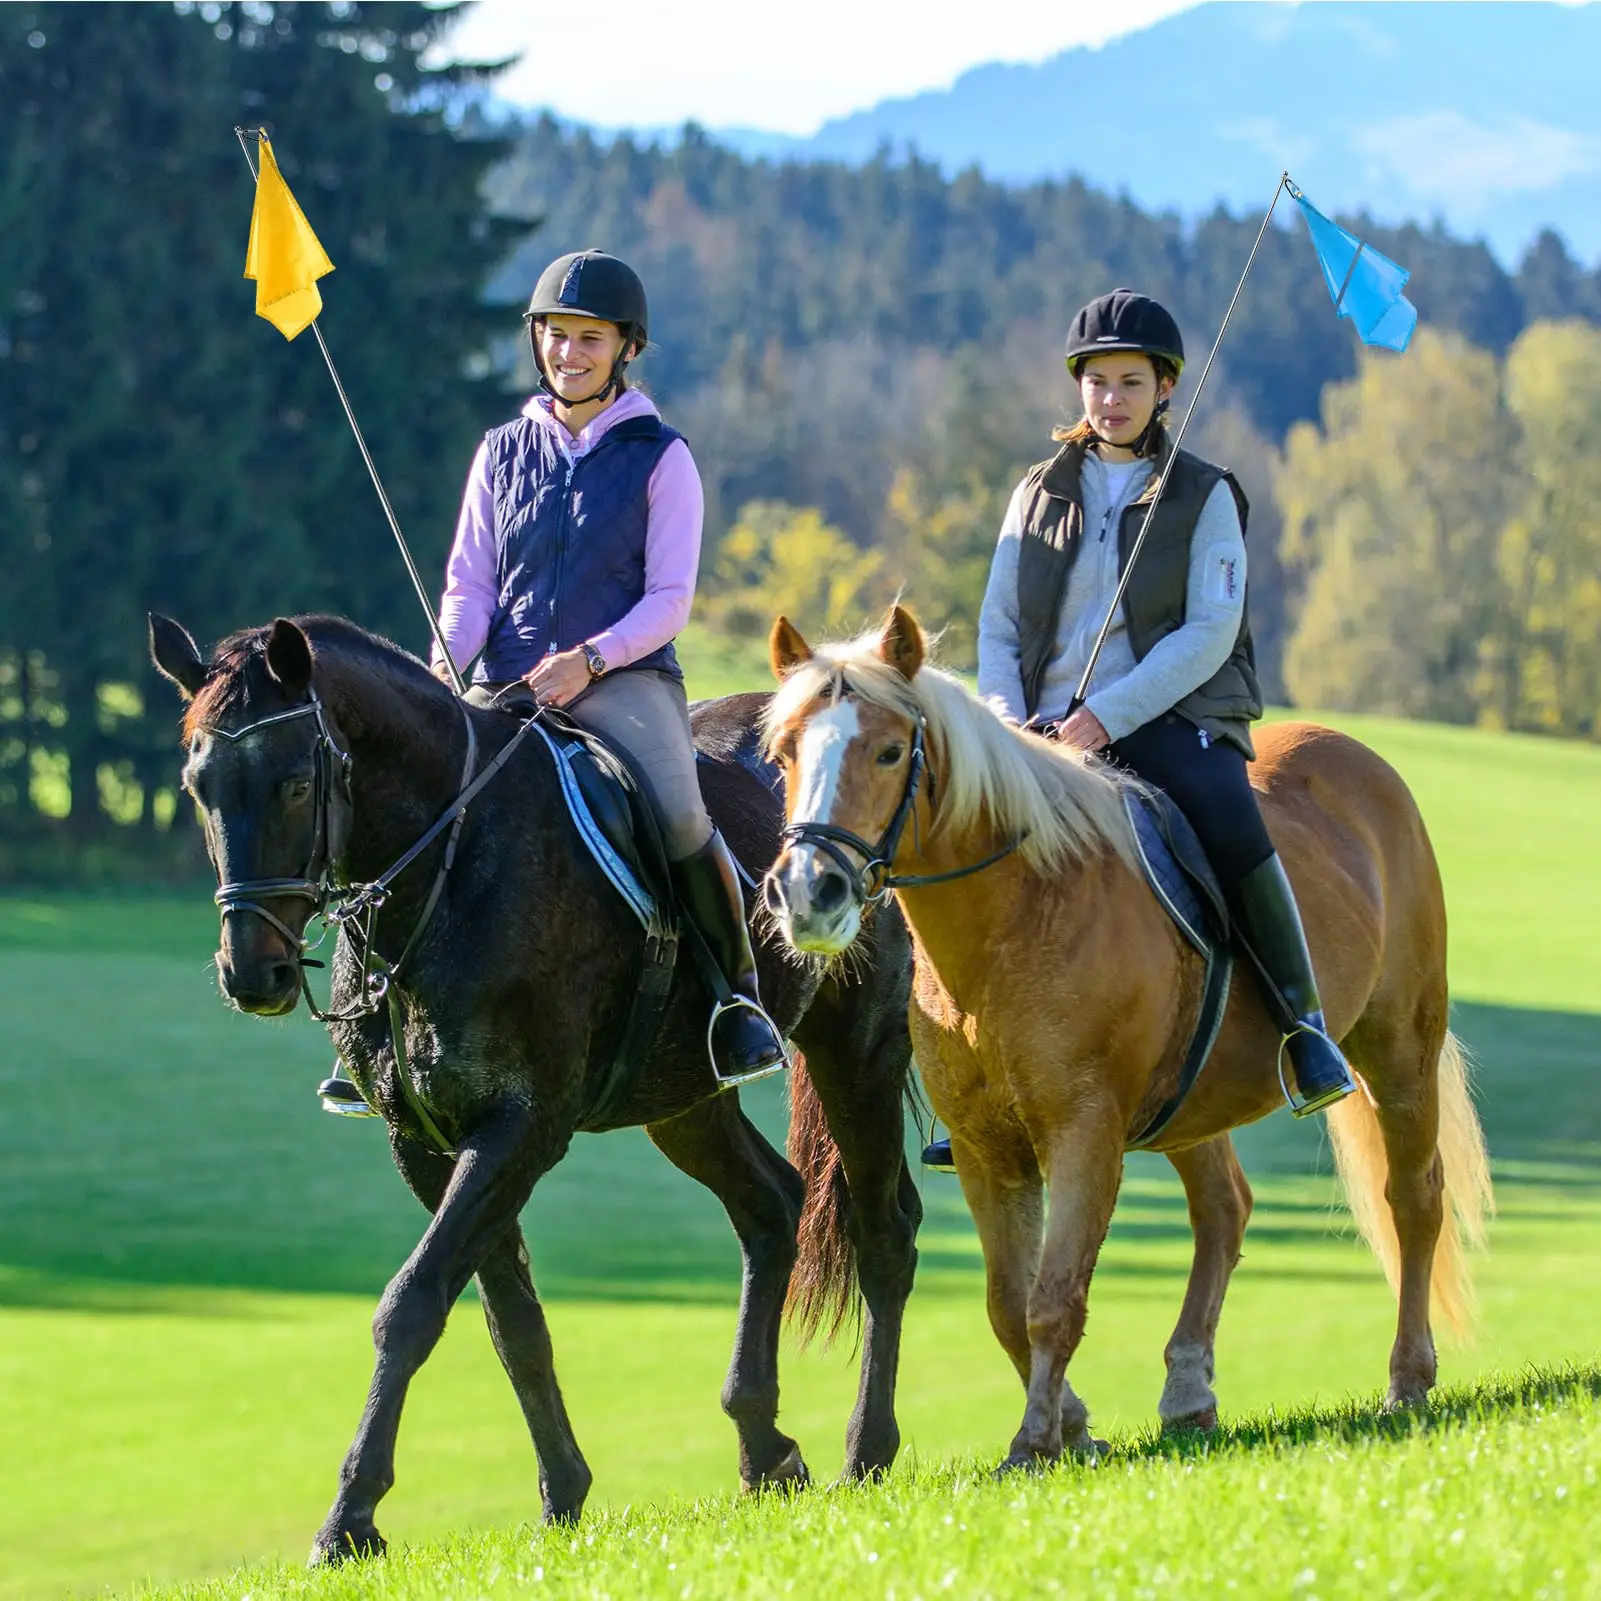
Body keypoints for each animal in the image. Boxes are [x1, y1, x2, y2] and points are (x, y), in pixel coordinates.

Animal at [148, 612, 921, 1562]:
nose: (250, 973)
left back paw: (866, 1449)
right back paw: (764, 1446)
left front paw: (350, 1517)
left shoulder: (520, 1129)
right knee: (772, 1205)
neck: (450, 864)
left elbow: (412, 1304)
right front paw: (563, 1494)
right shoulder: (427, 1143)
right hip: (684, 1101)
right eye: (199, 786)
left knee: (883, 1232)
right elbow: (510, 1321)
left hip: (858, 1051)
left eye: (295, 782)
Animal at [761, 605, 1494, 1472]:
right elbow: (1007, 1304)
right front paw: (1071, 1429)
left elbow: (1052, 1299)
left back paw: (1407, 1379)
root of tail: (1362, 760)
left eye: (887, 749)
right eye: (783, 752)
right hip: (1196, 1100)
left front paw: (1035, 1440)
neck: (1016, 916)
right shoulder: (984, 1151)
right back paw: (1188, 1391)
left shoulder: (1083, 1133)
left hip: (1399, 1043)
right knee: (1224, 1209)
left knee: (1411, 1198)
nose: (808, 892)